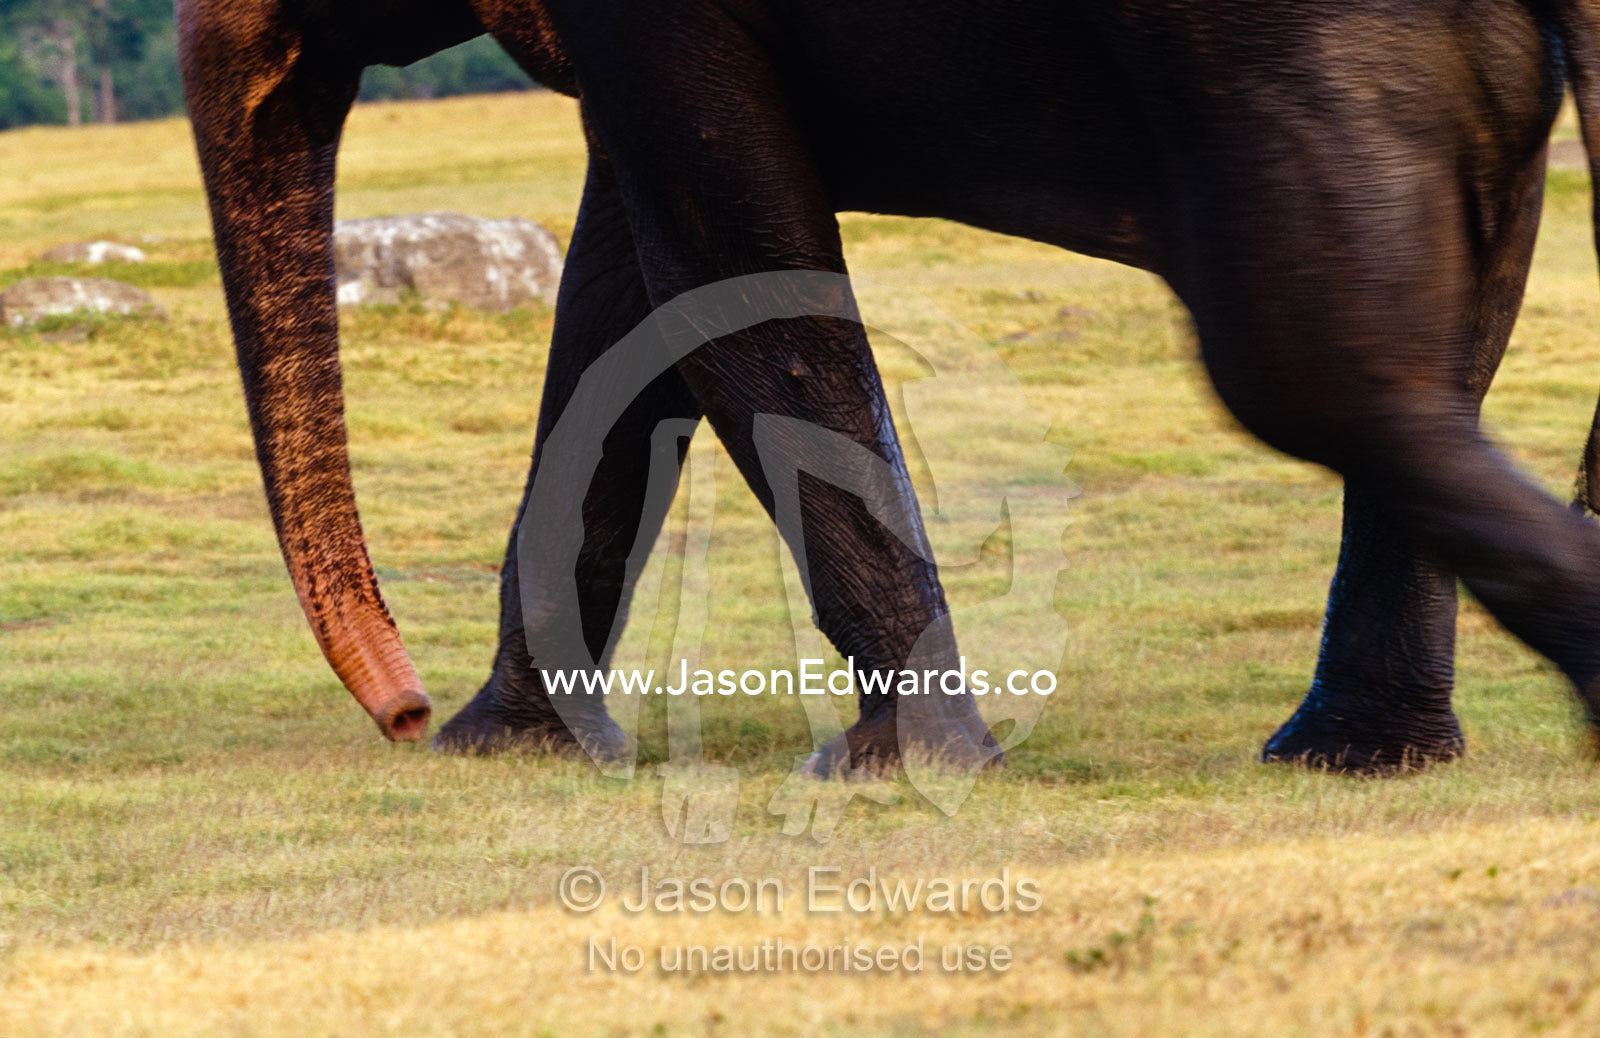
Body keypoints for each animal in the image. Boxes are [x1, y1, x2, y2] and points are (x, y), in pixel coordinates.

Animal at [177, 0, 1600, 773]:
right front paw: (511, 747)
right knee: (1431, 354)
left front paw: (882, 769)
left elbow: (729, 277)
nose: (405, 713)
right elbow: (627, 300)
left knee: (1308, 366)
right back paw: (1353, 757)